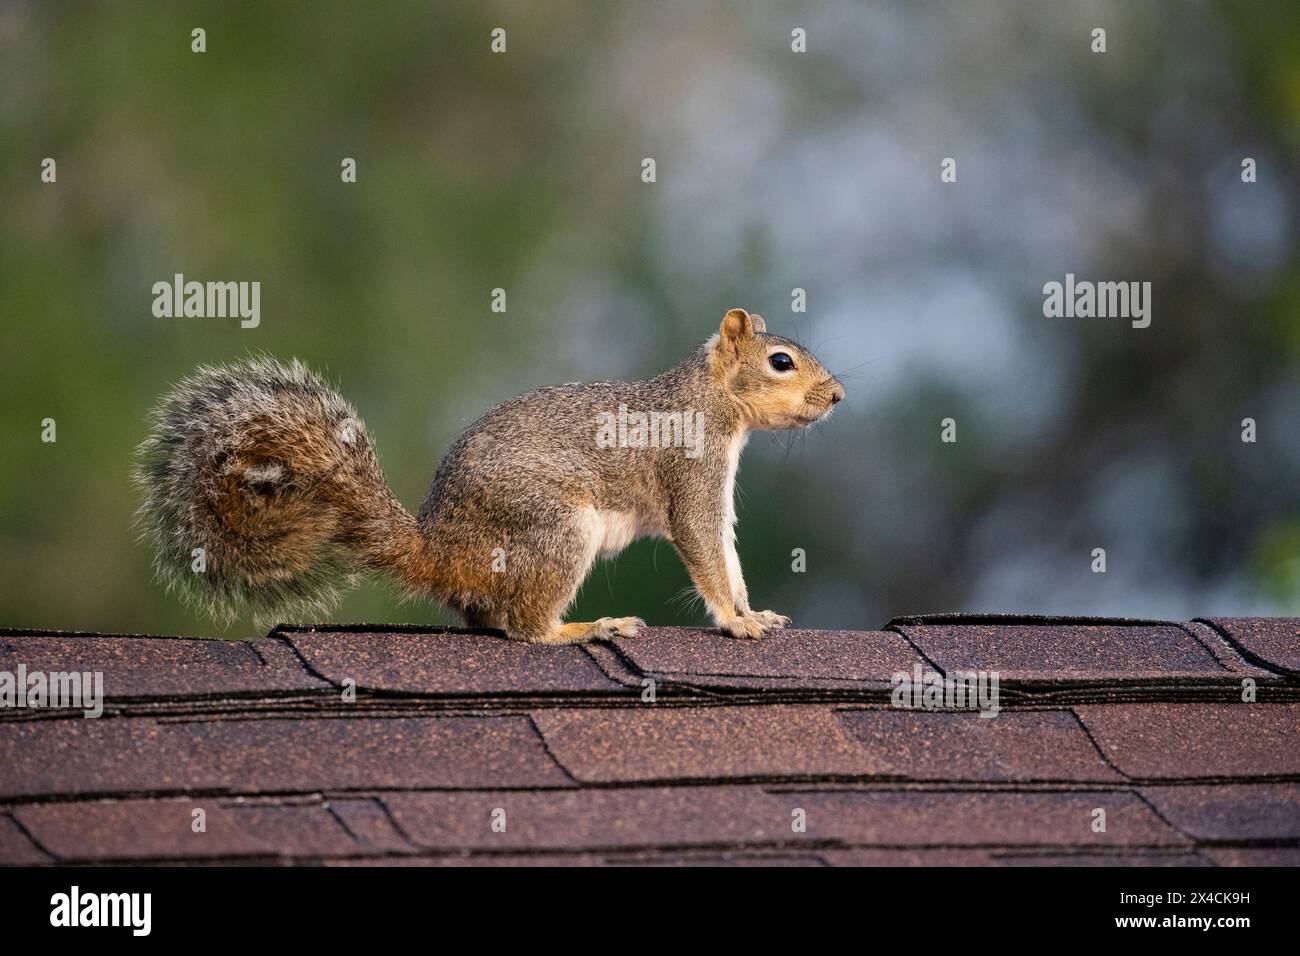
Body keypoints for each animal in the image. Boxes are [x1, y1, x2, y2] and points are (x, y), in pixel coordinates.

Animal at [135, 308, 845, 644]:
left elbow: (726, 550)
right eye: (781, 362)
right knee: (525, 628)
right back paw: (587, 628)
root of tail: (440, 550)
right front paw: (735, 622)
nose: (837, 395)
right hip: (554, 528)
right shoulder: (689, 472)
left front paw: (755, 611)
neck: (708, 399)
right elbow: (702, 547)